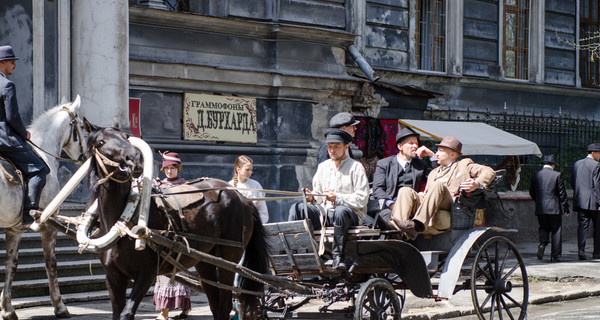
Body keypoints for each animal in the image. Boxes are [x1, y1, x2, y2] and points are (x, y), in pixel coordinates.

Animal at [0, 95, 86, 320]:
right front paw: (60, 306)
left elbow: (11, 265)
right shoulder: (48, 224)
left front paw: (7, 307)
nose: (85, 156)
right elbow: (51, 264)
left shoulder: (14, 229)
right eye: (82, 126)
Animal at [81, 120, 268, 320]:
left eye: (126, 136)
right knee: (217, 305)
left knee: (224, 303)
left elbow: (127, 313)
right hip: (205, 262)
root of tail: (242, 197)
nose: (135, 159)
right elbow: (117, 313)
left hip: (229, 258)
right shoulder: (113, 276)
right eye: (100, 142)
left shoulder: (147, 272)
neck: (124, 223)